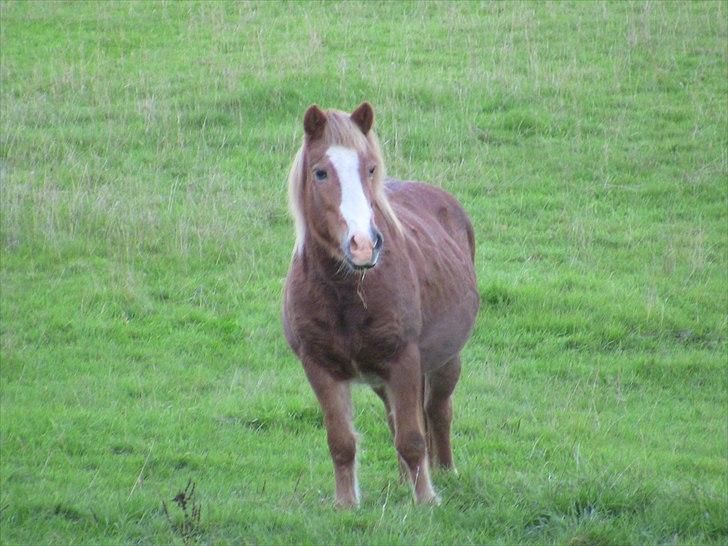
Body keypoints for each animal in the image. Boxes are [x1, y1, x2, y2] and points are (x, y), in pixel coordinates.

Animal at [282, 102, 478, 506]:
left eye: (370, 168)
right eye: (320, 172)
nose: (363, 245)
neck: (347, 291)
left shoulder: (403, 361)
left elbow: (414, 437)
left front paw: (426, 501)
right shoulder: (319, 367)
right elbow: (342, 442)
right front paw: (346, 505)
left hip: (445, 359)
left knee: (438, 410)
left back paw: (445, 472)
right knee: (396, 418)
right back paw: (405, 480)